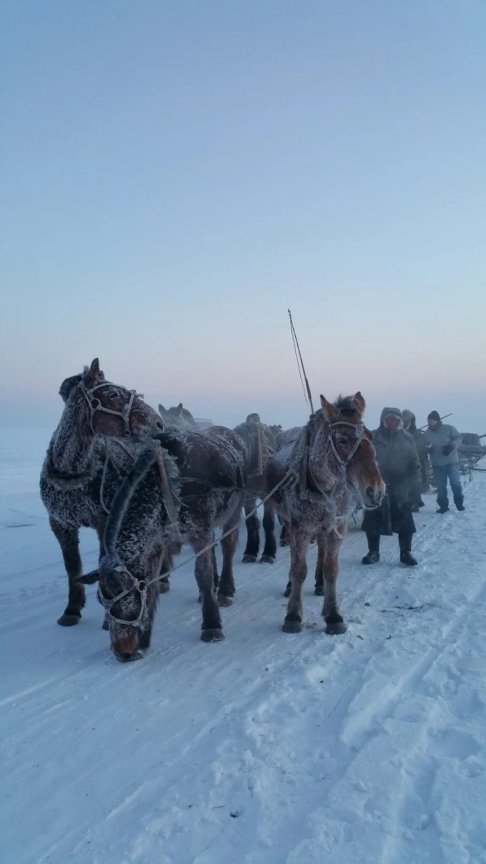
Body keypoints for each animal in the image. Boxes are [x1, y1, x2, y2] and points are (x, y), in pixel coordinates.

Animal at [39, 360, 165, 628]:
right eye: (113, 394)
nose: (159, 423)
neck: (73, 476)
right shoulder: (60, 524)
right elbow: (72, 567)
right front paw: (72, 609)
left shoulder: (103, 520)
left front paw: (110, 614)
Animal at [264, 394, 386, 636]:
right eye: (342, 440)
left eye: (370, 436)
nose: (375, 490)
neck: (321, 485)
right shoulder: (299, 528)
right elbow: (299, 568)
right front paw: (293, 614)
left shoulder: (337, 527)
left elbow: (332, 569)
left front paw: (333, 615)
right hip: (290, 522)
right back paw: (291, 586)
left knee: (321, 549)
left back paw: (319, 584)